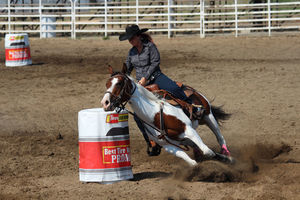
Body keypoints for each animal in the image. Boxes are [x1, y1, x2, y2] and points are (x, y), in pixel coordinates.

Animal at [100, 65, 232, 166]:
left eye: (119, 83)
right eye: (107, 84)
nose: (105, 103)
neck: (156, 114)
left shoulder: (189, 131)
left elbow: (208, 151)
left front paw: (225, 160)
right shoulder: (168, 145)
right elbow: (190, 160)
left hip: (208, 116)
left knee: (220, 137)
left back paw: (227, 155)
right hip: (184, 138)